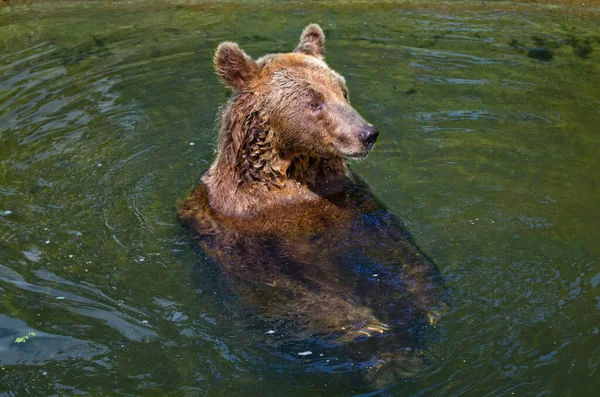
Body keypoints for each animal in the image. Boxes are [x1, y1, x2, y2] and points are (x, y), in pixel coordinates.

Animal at [180, 24, 448, 380]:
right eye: (313, 101)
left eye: (343, 92)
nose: (367, 133)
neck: (290, 178)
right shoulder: (239, 228)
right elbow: (281, 286)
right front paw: (367, 327)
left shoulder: (349, 200)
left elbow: (397, 245)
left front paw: (429, 302)